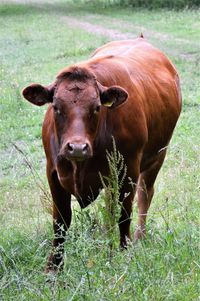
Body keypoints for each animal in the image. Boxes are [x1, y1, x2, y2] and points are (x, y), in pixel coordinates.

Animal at [21, 36, 181, 270]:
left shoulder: (129, 170)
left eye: (96, 107)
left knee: (144, 194)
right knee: (109, 205)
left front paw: (124, 252)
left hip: (157, 155)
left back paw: (139, 237)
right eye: (56, 107)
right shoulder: (53, 172)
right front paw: (54, 267)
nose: (77, 147)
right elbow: (60, 222)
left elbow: (124, 215)